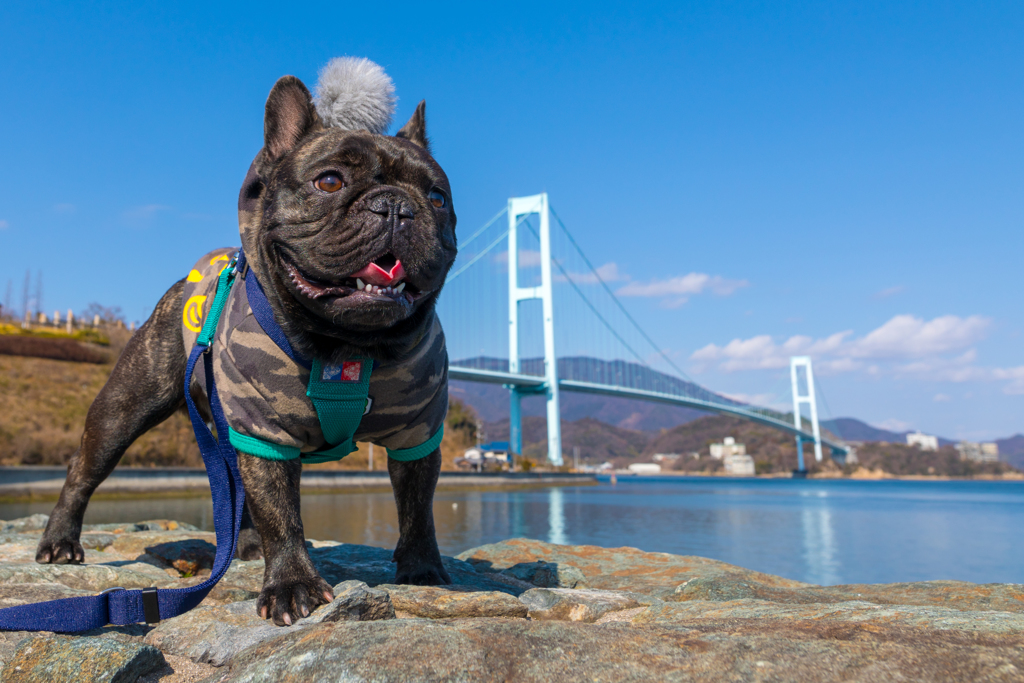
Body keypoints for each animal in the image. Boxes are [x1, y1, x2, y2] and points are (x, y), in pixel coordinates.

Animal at [34, 74, 456, 626]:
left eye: (438, 197)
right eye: (329, 182)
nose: (395, 205)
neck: (348, 345)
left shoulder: (418, 433)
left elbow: (417, 506)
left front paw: (424, 568)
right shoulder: (264, 429)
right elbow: (282, 513)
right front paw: (292, 584)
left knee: (237, 486)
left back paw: (249, 546)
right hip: (124, 409)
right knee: (82, 471)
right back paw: (60, 542)